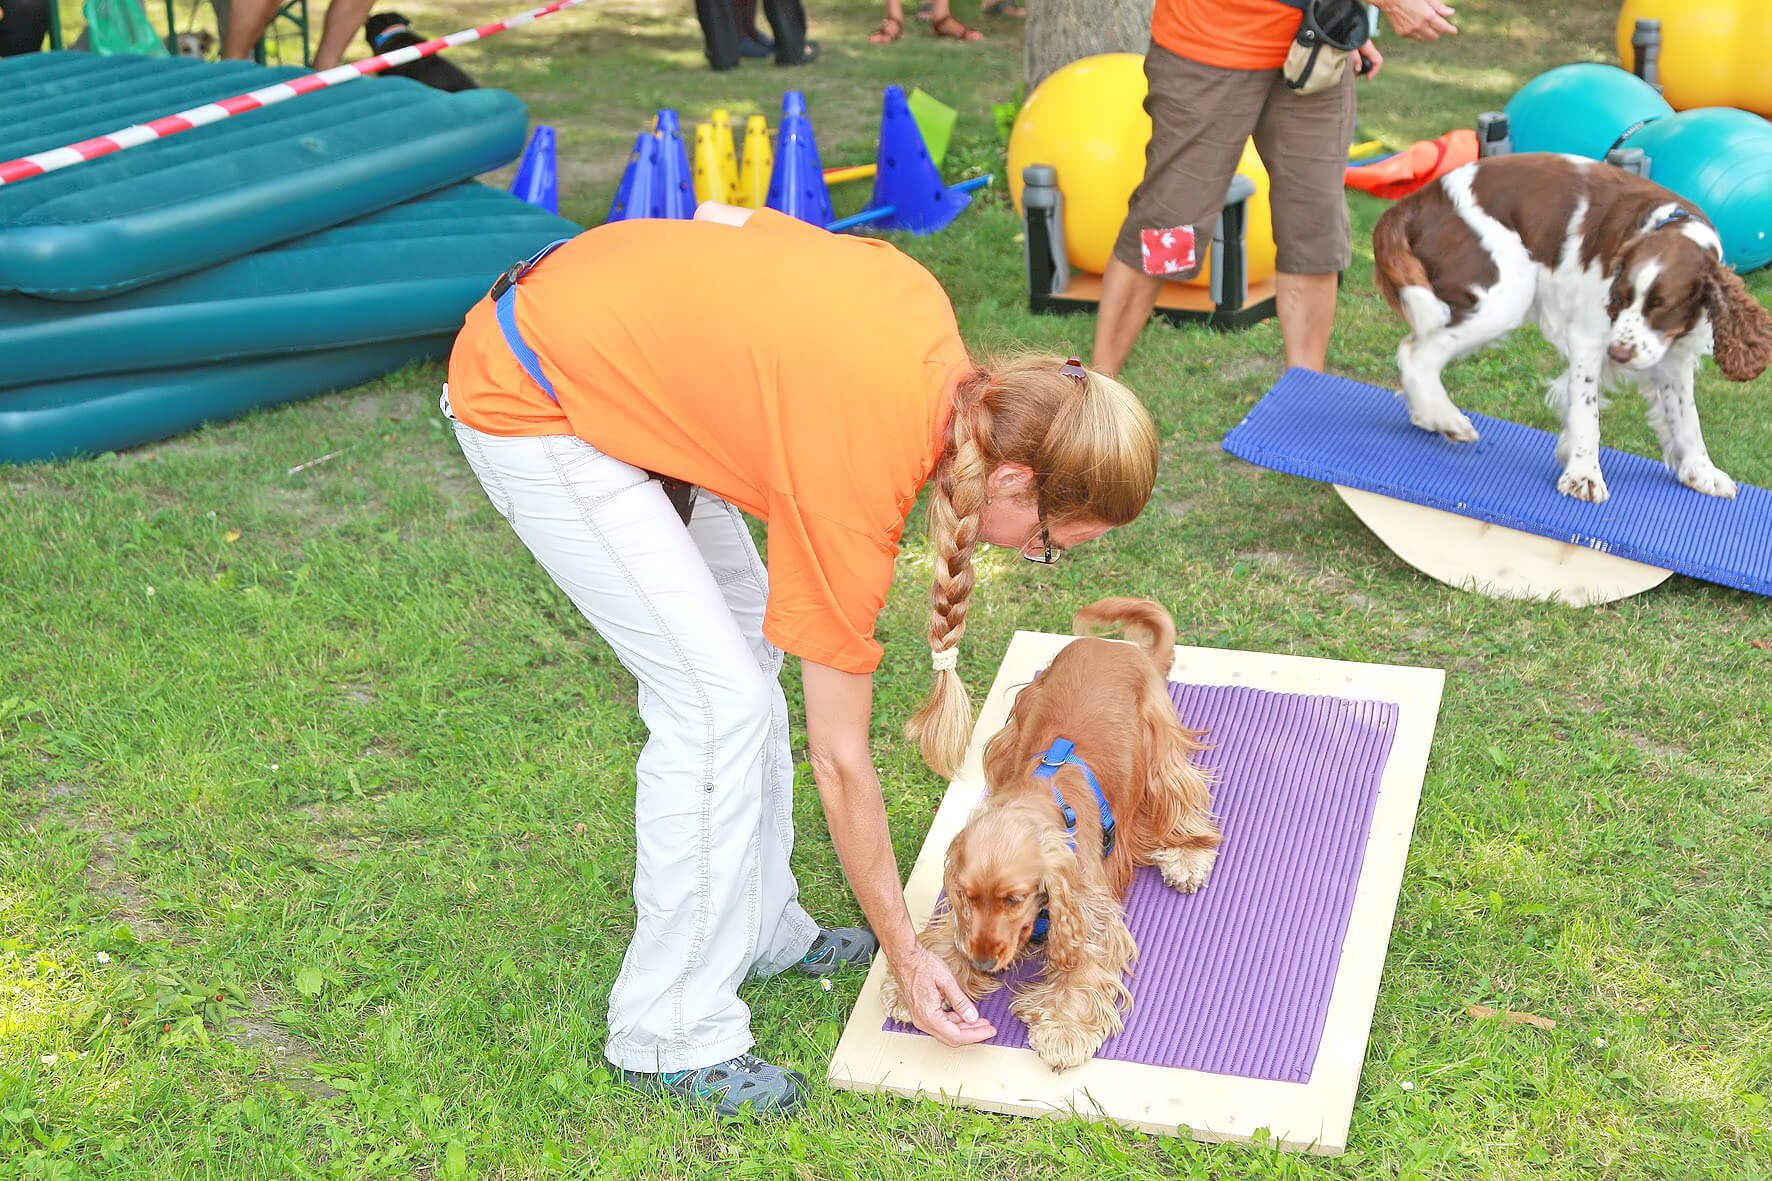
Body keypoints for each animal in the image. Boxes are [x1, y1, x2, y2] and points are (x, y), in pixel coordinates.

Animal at [881, 597, 1221, 1071]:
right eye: (968, 896)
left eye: (1013, 899)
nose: (983, 962)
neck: (1041, 797)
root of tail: (1123, 648)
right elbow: (949, 933)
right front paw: (920, 987)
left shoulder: (1092, 909)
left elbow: (1085, 963)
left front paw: (1063, 1031)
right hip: (1016, 725)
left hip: (1161, 752)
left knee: (1182, 799)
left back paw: (1187, 856)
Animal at [1373, 153, 1772, 504]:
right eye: (1621, 297)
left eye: (1664, 307)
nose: (1619, 354)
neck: (1672, 223)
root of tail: (1416, 200)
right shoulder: (1591, 338)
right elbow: (1586, 410)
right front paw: (1584, 475)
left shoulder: (1672, 353)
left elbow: (1686, 416)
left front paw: (1702, 472)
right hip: (1505, 293)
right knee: (1415, 352)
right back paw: (1445, 418)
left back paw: (1427, 415)